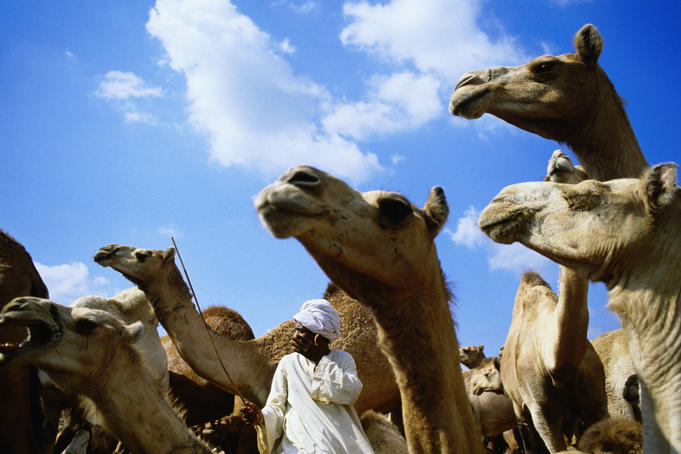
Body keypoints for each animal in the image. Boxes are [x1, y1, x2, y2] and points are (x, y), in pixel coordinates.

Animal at [478, 162, 681, 453]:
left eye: (581, 193)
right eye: (550, 174)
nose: (499, 200)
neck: (556, 362)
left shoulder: (597, 401)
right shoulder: (542, 411)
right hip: (519, 408)